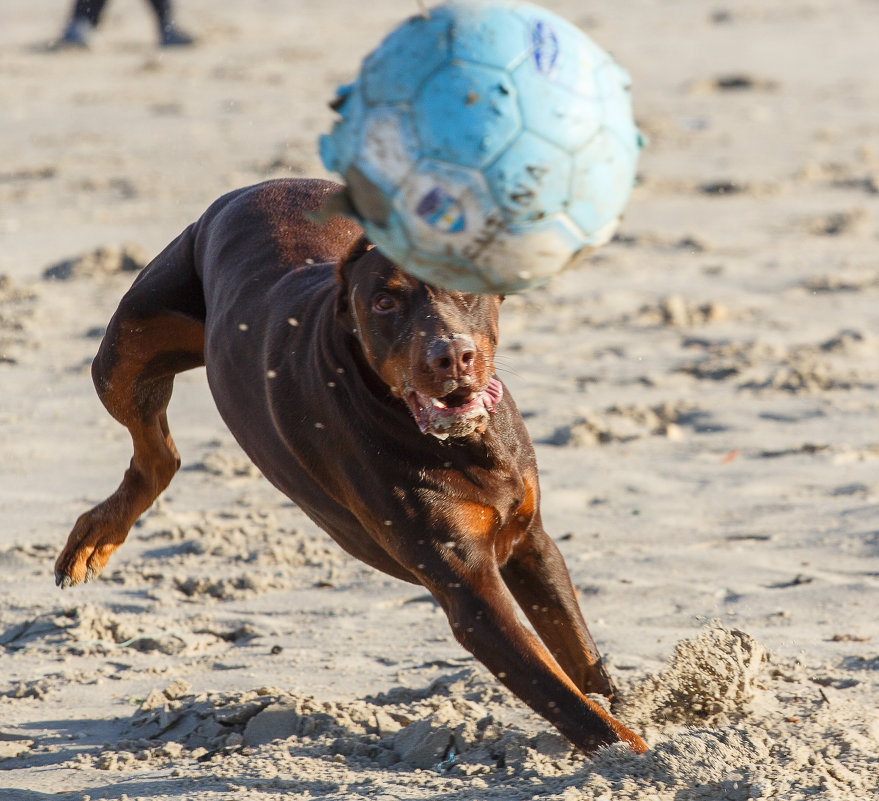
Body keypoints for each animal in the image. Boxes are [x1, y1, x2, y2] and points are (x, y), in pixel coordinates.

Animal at [55, 178, 648, 752]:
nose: (451, 356)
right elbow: (563, 697)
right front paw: (638, 759)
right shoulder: (470, 590)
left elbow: (580, 660)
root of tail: (253, 188)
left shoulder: (531, 541)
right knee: (156, 449)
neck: (460, 445)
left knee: (162, 455)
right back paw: (95, 538)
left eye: (461, 286)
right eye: (385, 302)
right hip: (127, 348)